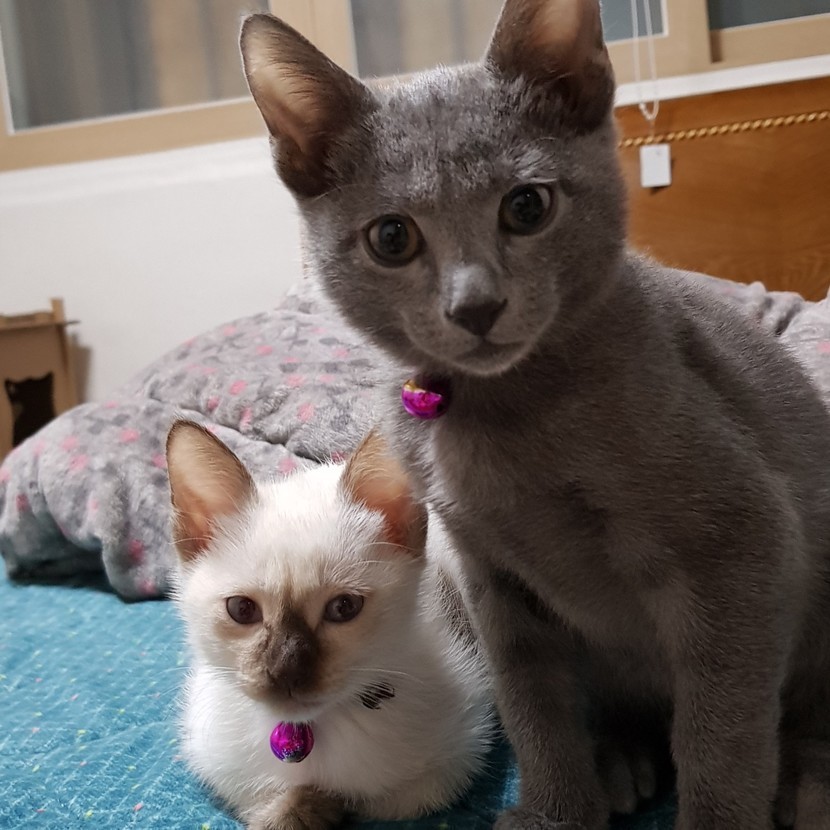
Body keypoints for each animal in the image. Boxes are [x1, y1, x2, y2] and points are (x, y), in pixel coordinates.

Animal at [166, 421, 494, 830]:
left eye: (343, 608)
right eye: (241, 610)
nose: (286, 672)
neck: (307, 732)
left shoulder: (455, 760)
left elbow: (370, 800)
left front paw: (320, 804)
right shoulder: (218, 767)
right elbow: (267, 805)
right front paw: (296, 808)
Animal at [238, 1, 830, 829]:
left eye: (527, 206)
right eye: (392, 236)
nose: (475, 305)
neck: (500, 419)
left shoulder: (744, 543)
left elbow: (722, 725)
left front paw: (716, 813)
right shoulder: (486, 573)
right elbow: (531, 702)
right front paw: (557, 808)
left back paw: (809, 776)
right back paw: (617, 759)